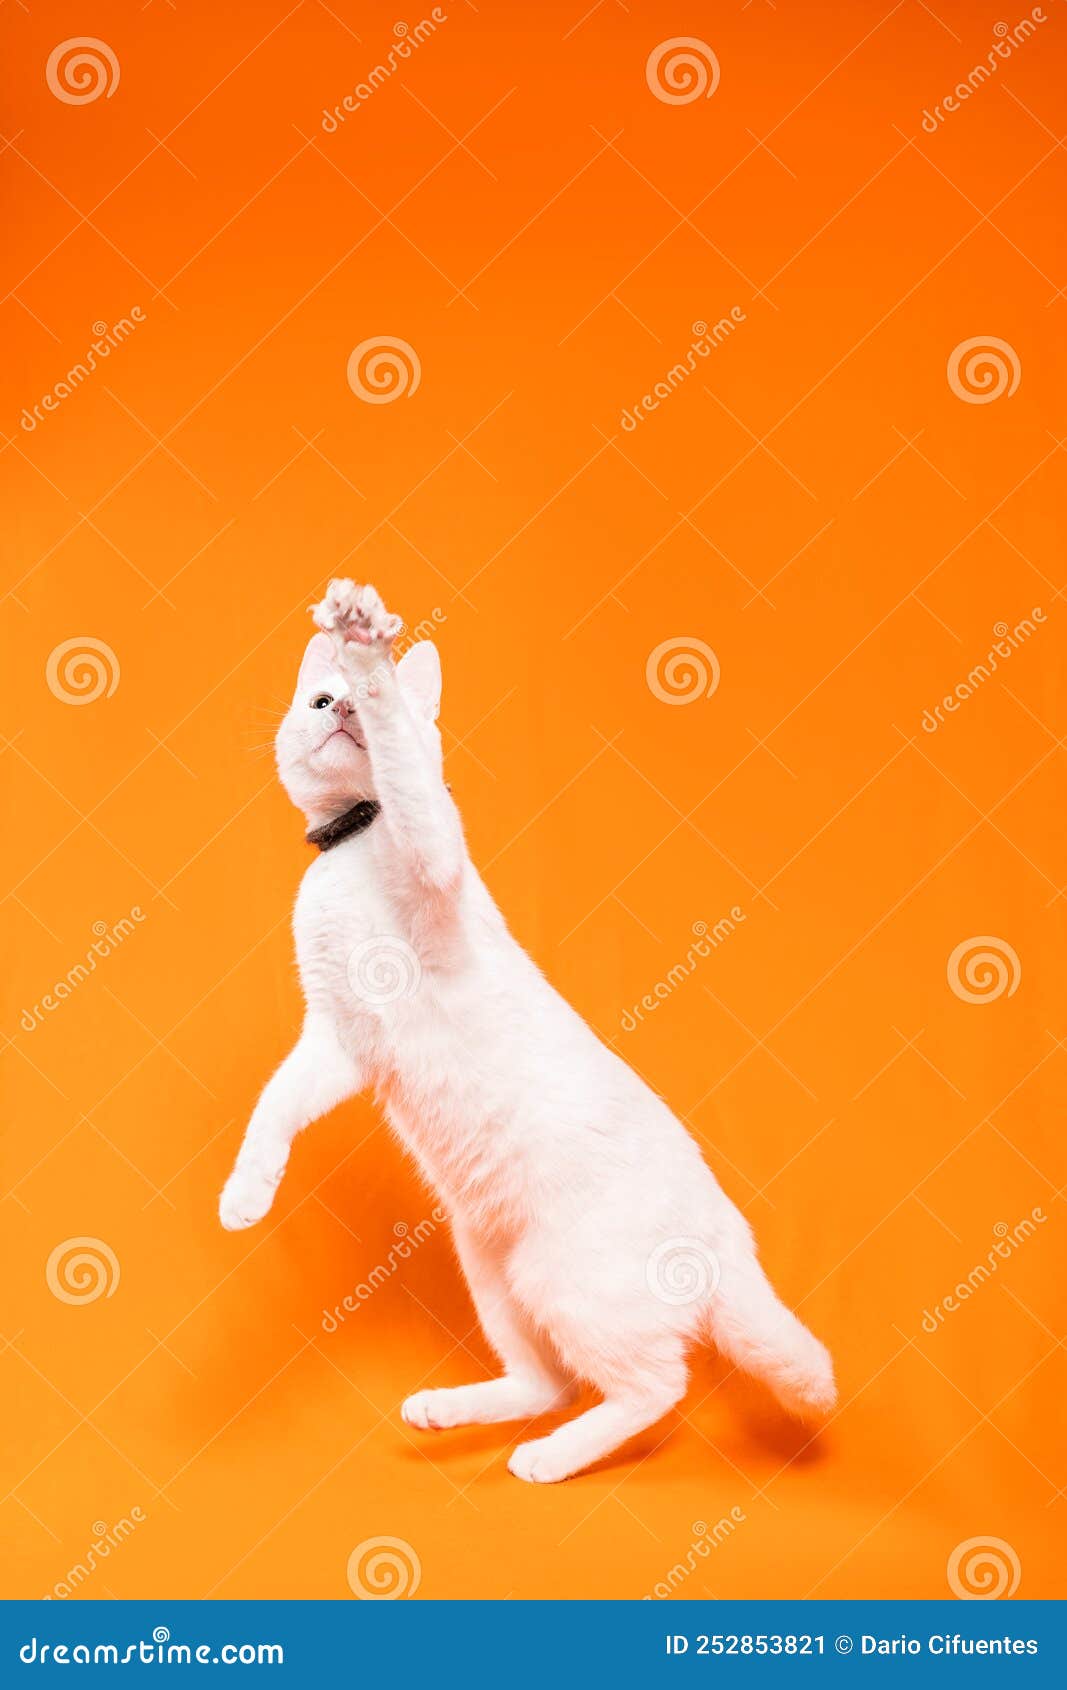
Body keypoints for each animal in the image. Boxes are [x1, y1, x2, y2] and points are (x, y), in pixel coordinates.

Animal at [219, 581, 835, 1480]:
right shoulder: (339, 1040)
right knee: (552, 1383)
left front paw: (368, 647)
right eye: (318, 701)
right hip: (490, 1270)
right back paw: (449, 1411)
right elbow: (273, 1109)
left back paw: (549, 1457)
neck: (352, 844)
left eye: (353, 699)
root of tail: (726, 1232)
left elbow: (411, 779)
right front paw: (246, 1193)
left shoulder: (431, 861)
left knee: (654, 1386)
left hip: (564, 1281)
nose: (343, 707)